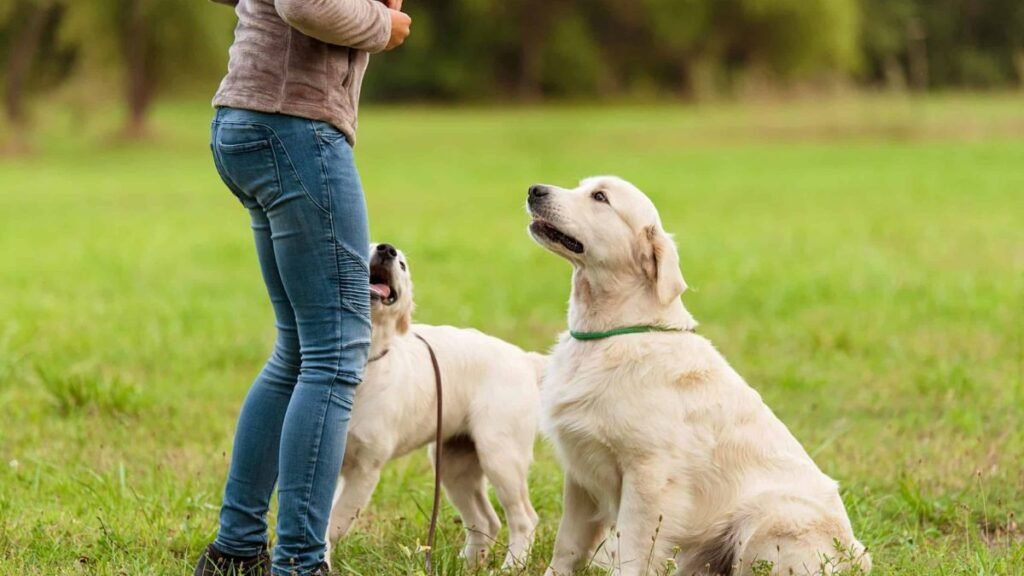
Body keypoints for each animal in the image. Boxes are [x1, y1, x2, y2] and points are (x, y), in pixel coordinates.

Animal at [327, 240, 548, 565]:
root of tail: (525, 359)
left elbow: (334, 522)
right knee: (486, 520)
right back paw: (468, 564)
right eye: (366, 245)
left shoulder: (365, 467)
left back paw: (512, 566)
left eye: (402, 265)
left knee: (524, 518)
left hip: (501, 455)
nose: (387, 250)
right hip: (455, 464)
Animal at [528, 176, 872, 573]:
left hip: (767, 518)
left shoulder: (650, 474)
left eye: (600, 197)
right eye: (581, 185)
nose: (534, 190)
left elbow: (631, 545)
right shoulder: (580, 471)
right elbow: (567, 543)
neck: (613, 333)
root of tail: (856, 555)